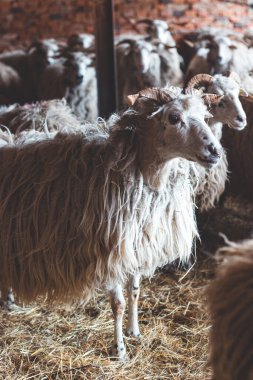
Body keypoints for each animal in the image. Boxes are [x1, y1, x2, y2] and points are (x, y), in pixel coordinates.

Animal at [0, 84, 221, 358]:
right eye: (173, 118)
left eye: (204, 116)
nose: (215, 151)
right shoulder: (110, 253)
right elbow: (118, 304)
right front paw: (120, 350)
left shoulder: (137, 246)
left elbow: (135, 293)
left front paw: (134, 332)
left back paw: (9, 301)